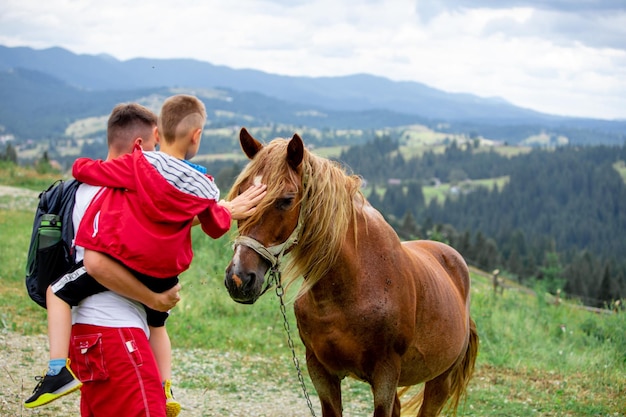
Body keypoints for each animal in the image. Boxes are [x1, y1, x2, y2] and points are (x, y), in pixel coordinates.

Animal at [224, 127, 478, 416]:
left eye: (286, 200)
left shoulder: (385, 375)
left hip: (440, 380)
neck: (355, 287)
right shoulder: (321, 372)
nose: (239, 278)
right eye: (242, 192)